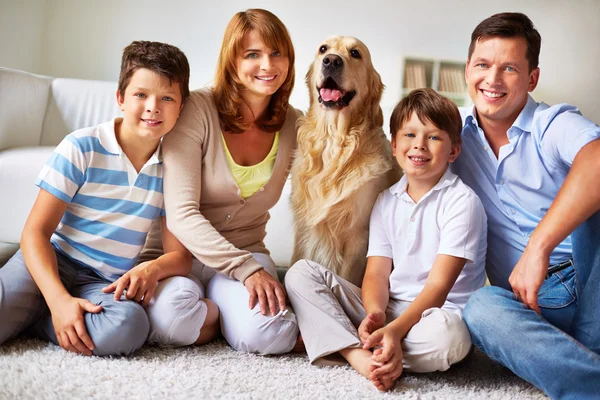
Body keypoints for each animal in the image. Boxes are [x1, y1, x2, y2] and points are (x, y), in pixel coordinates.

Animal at [292, 36, 404, 286]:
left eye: (355, 53)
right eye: (323, 49)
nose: (331, 61)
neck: (334, 140)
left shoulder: (359, 235)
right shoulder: (303, 230)